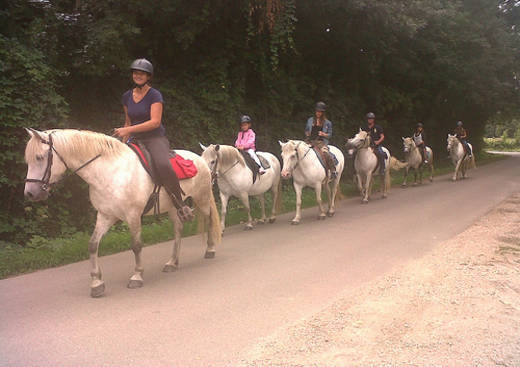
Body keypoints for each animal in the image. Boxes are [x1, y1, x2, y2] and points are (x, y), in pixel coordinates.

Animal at [24, 129, 219, 300]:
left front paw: (137, 276)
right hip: (172, 207)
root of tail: (200, 160)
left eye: (39, 157)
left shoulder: (133, 215)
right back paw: (172, 262)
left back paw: (210, 250)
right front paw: (96, 283)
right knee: (178, 229)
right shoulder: (105, 215)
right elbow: (93, 245)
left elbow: (136, 245)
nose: (30, 193)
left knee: (209, 219)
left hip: (202, 199)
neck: (110, 172)